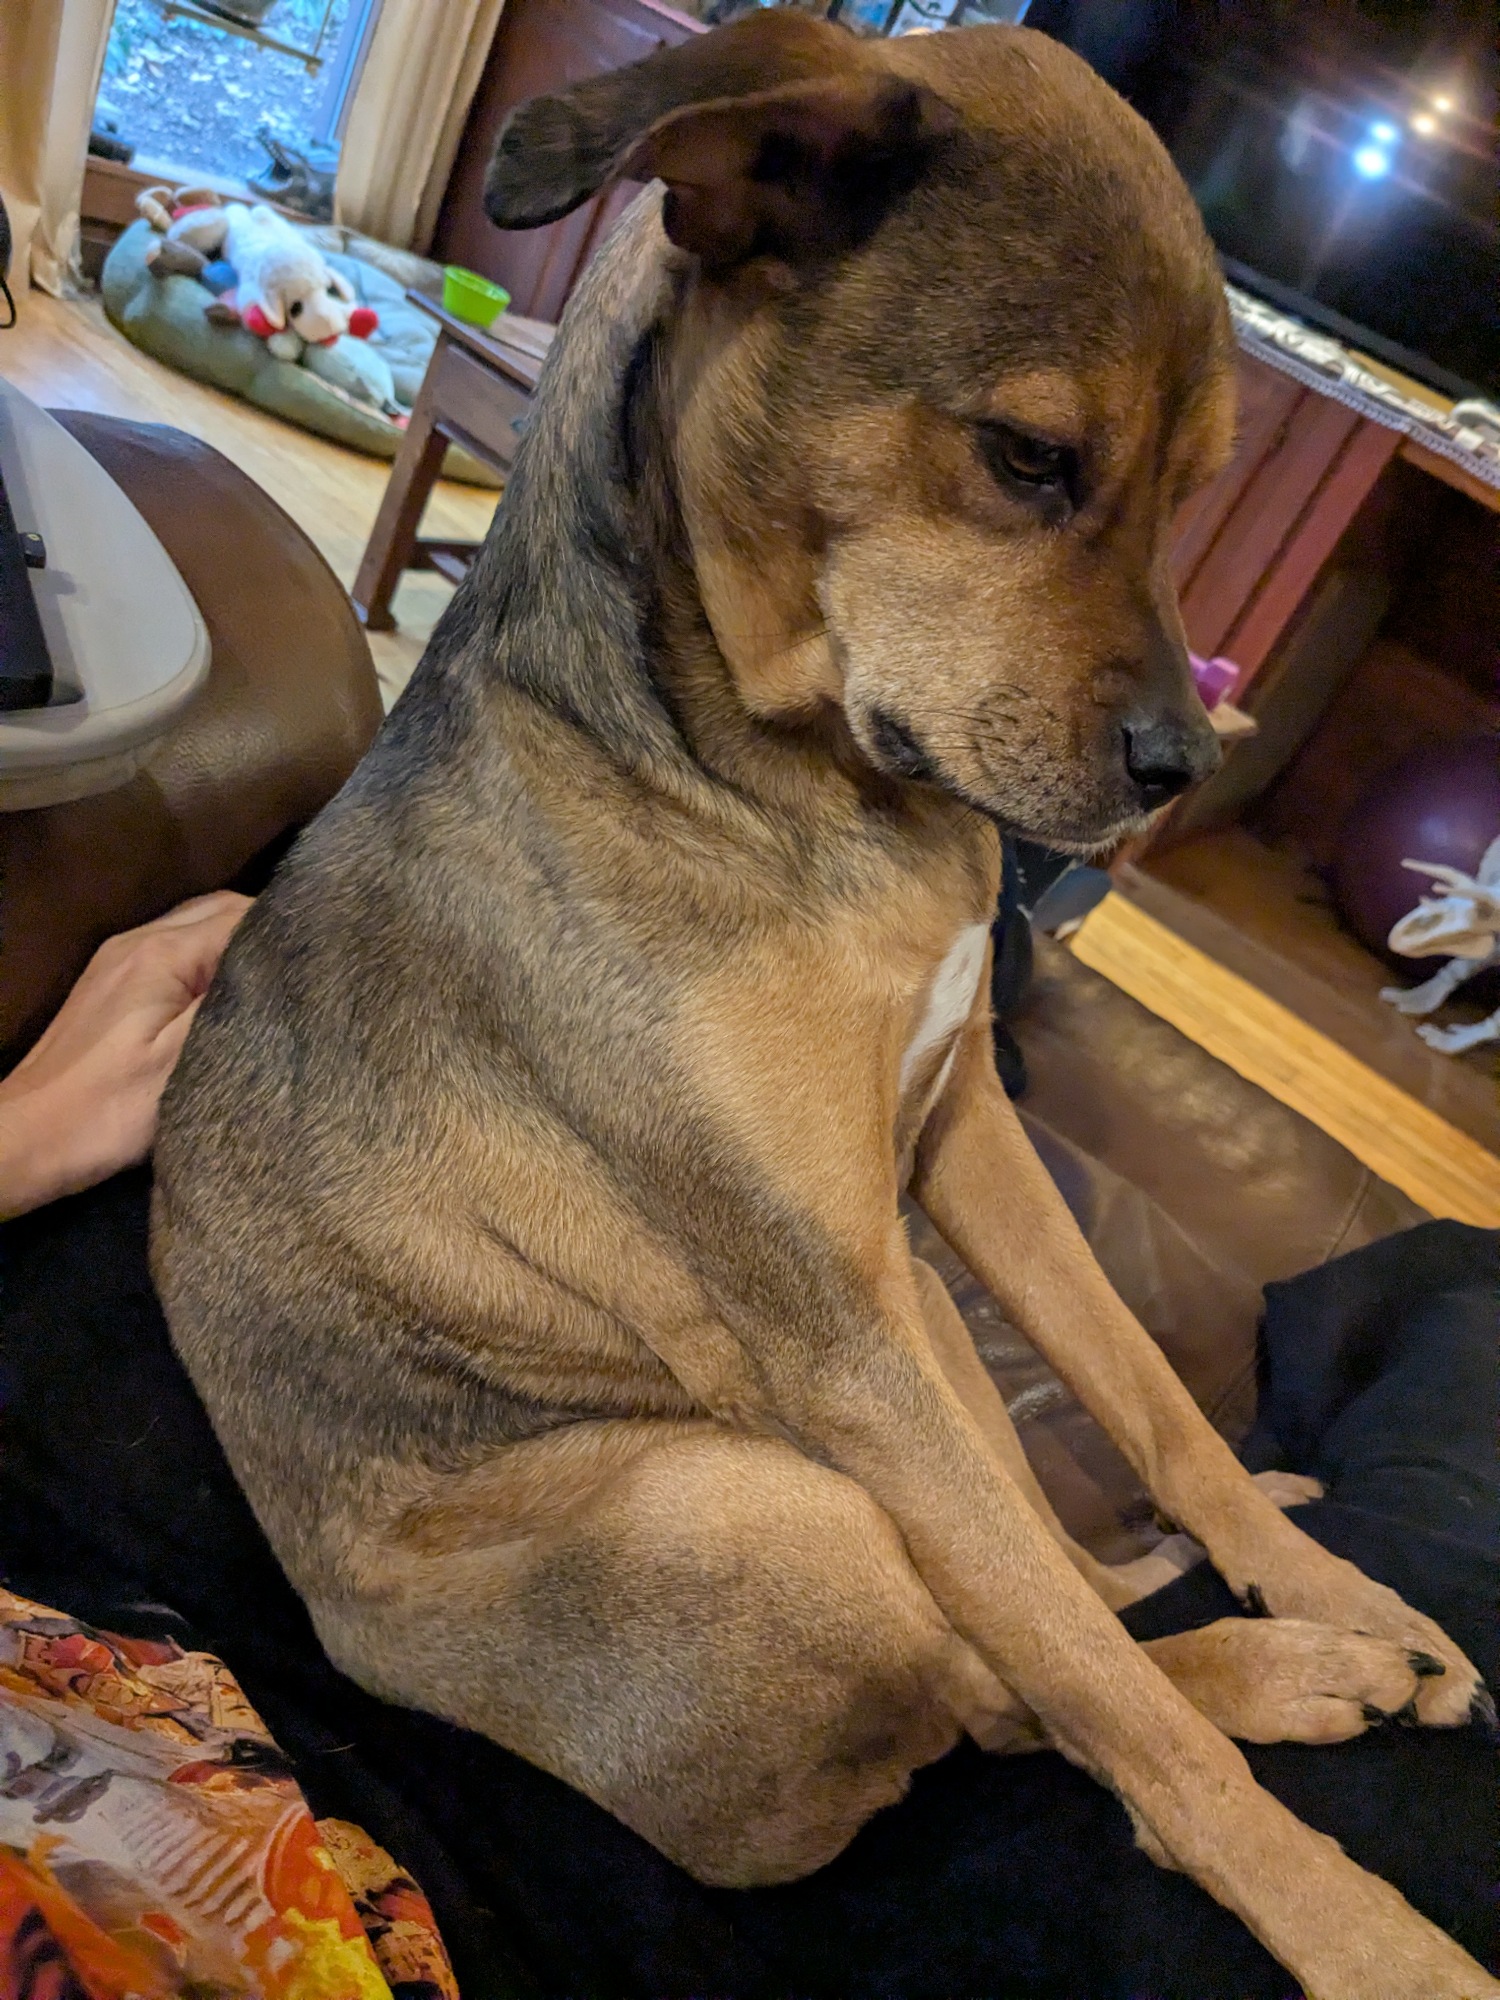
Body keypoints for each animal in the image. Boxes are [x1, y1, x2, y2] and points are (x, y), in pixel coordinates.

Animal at [151, 18, 1496, 1995]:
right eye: (1030, 457)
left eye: (1199, 496)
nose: (1184, 774)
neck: (788, 786)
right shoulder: (833, 1325)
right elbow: (1108, 1707)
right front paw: (1360, 1932)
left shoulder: (957, 1145)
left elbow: (1152, 1403)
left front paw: (1313, 1573)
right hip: (775, 1510)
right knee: (1021, 1694)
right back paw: (1288, 1681)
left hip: (895, 1382)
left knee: (1047, 1602)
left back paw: (1311, 1624)